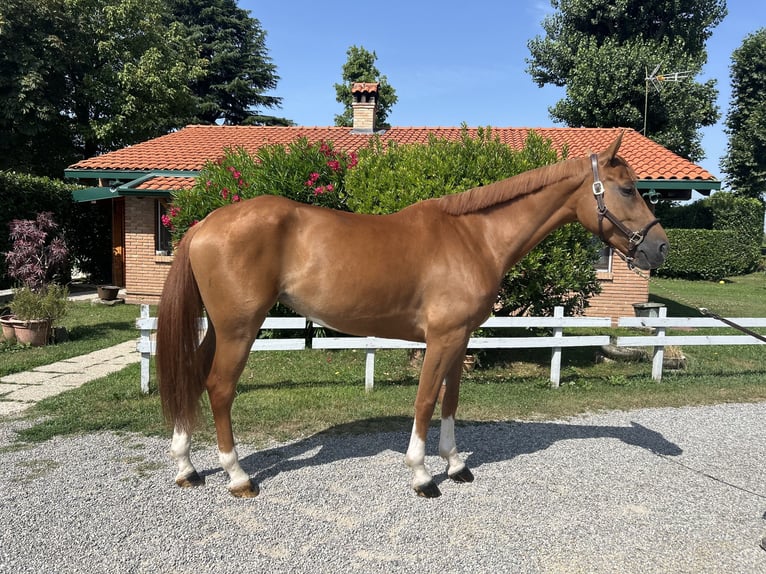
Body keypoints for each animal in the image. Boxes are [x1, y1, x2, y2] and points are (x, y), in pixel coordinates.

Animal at [154, 135, 664, 500]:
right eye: (627, 189)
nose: (660, 248)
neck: (475, 238)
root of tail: (205, 224)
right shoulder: (441, 339)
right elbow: (424, 401)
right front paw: (422, 475)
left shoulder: (461, 339)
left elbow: (451, 401)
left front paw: (456, 465)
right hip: (239, 330)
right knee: (219, 388)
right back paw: (238, 476)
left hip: (218, 329)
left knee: (192, 377)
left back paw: (186, 467)